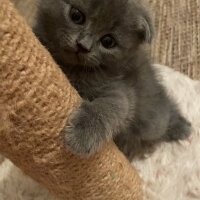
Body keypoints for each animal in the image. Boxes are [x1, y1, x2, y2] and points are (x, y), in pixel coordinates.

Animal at [33, 0, 191, 159]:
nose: (83, 45)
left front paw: (80, 135)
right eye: (76, 16)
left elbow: (107, 107)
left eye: (108, 41)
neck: (72, 68)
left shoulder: (120, 91)